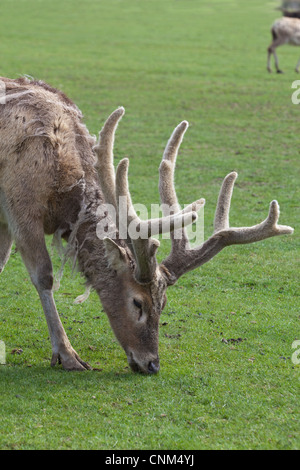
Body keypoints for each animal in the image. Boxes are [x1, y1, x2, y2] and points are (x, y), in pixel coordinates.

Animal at [0, 78, 294, 374]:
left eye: (163, 303)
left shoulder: (5, 219)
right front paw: (68, 355)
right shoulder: (19, 207)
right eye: (137, 302)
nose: (152, 363)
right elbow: (44, 276)